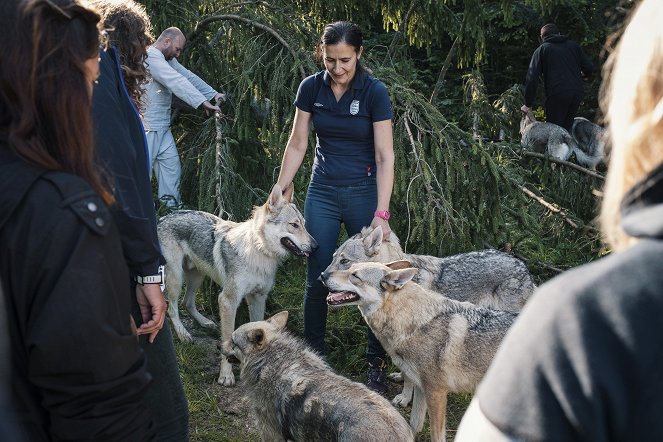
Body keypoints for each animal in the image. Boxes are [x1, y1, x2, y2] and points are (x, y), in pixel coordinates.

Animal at [158, 183, 320, 384]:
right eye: (294, 225)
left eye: (304, 224)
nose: (316, 247)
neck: (259, 252)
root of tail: (163, 217)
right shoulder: (228, 300)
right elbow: (227, 338)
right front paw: (226, 375)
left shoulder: (258, 297)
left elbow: (258, 326)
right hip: (176, 278)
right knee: (172, 307)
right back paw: (183, 334)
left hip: (197, 276)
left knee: (186, 302)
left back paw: (205, 322)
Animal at [322, 260, 520, 440]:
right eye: (348, 267)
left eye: (355, 276)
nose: (323, 275)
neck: (413, 322)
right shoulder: (420, 387)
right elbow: (414, 424)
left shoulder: (436, 393)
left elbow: (436, 435)